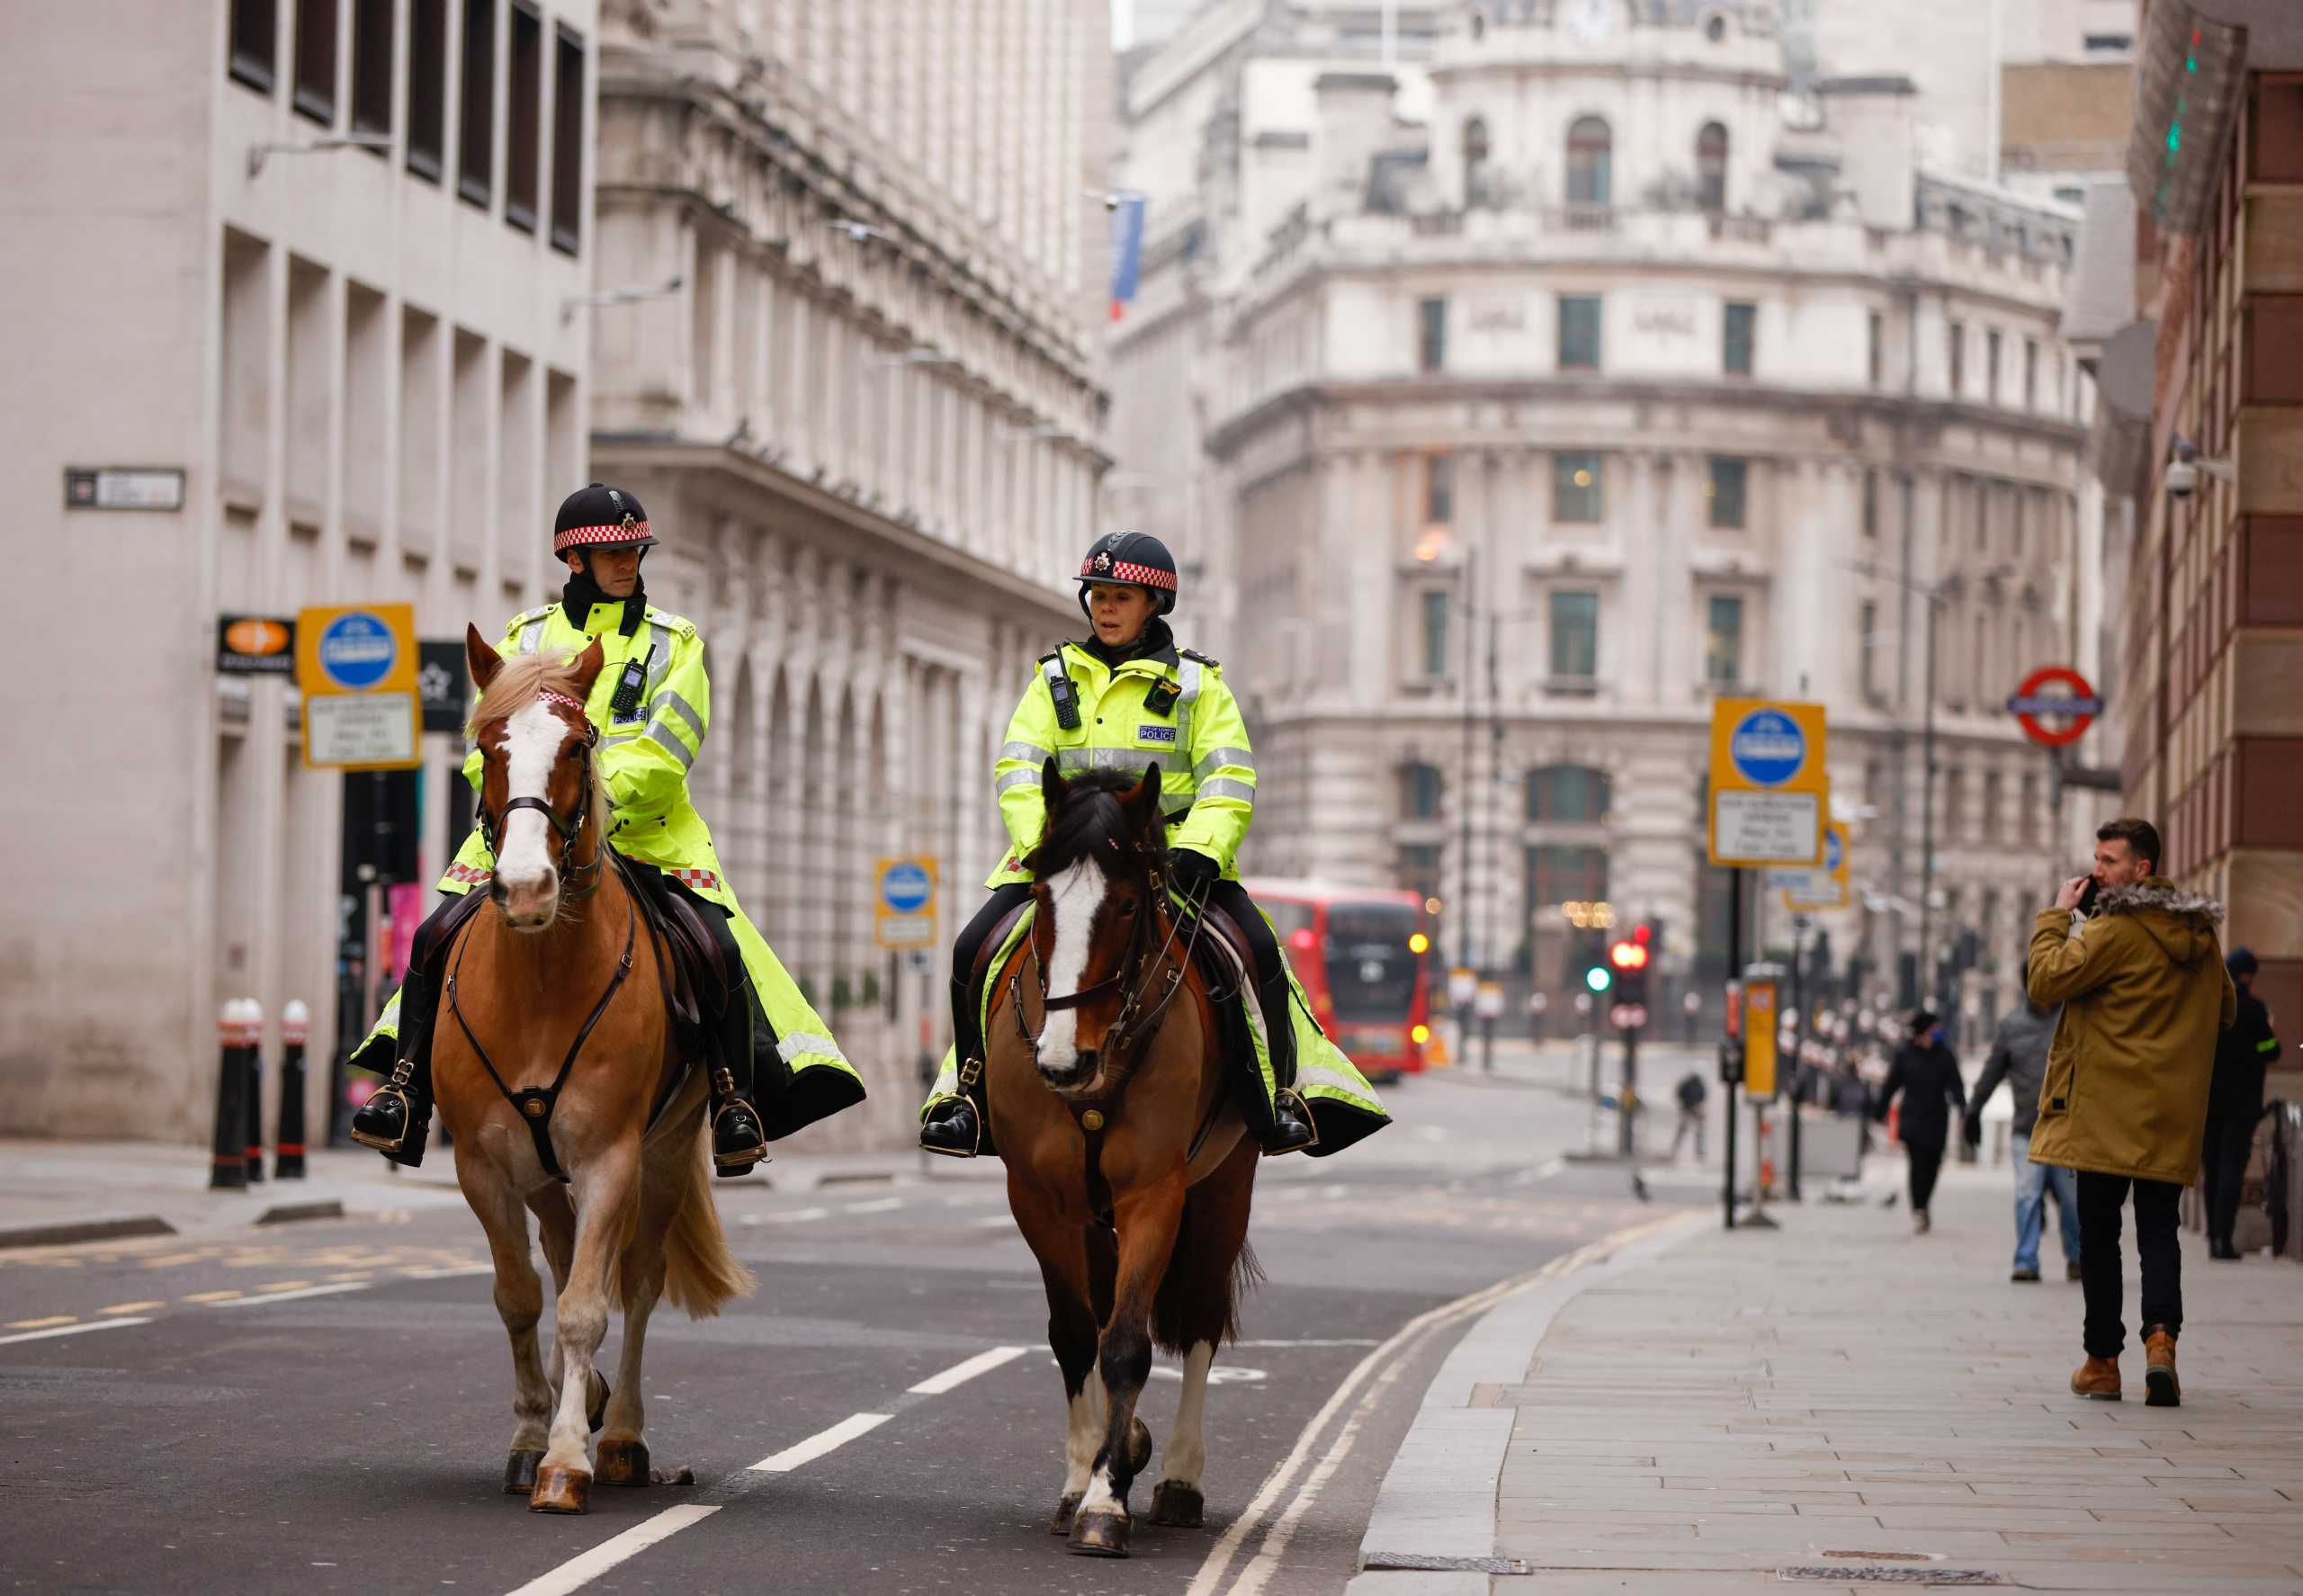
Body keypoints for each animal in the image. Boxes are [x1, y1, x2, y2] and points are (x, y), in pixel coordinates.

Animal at [435, 622, 750, 1511]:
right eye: (487, 746)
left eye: (580, 744)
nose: (526, 887)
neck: (542, 983)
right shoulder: (483, 1165)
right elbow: (520, 1297)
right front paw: (529, 1437)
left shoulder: (612, 1156)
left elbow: (586, 1307)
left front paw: (568, 1458)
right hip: (543, 1171)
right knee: (563, 1249)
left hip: (665, 1154)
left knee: (632, 1280)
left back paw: (622, 1436)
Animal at [981, 759, 1252, 1556]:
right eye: (1041, 897)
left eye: (1130, 905)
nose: (1063, 1063)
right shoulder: (1039, 1199)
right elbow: (1078, 1334)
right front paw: (1085, 1477)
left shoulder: (1153, 1192)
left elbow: (1128, 1341)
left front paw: (1107, 1500)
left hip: (1223, 1190)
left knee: (1198, 1321)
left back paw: (1179, 1480)